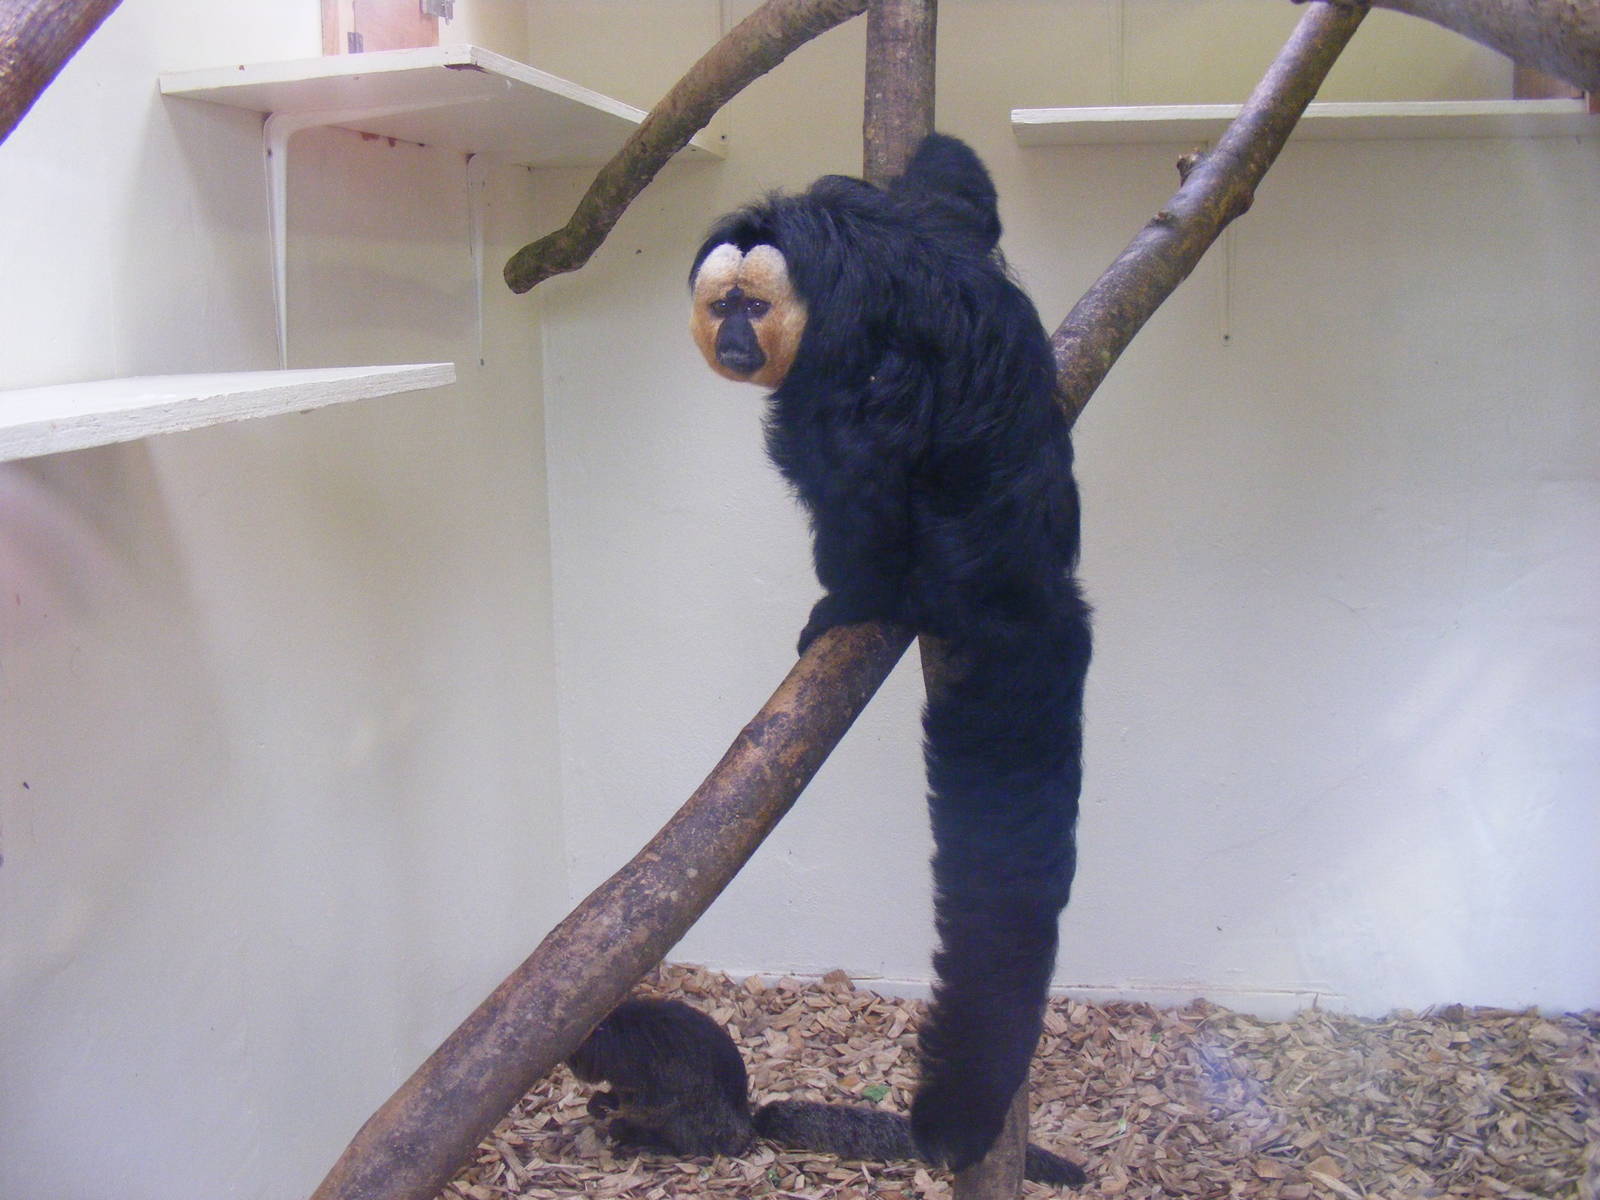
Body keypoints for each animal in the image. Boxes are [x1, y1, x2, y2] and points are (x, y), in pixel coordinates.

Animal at [567, 996, 1085, 1186]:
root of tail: (747, 1124)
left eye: (581, 1048)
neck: (619, 1029)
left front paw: (609, 1107)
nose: (570, 1063)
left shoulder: (653, 1076)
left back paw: (641, 1139)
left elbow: (645, 1101)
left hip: (698, 1126)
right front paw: (602, 1103)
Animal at [688, 133, 1092, 1174]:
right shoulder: (905, 215)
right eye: (724, 304)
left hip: (961, 549)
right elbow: (962, 197)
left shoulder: (839, 352)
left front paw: (850, 596)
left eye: (752, 306)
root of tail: (1022, 572)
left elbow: (861, 448)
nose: (735, 337)